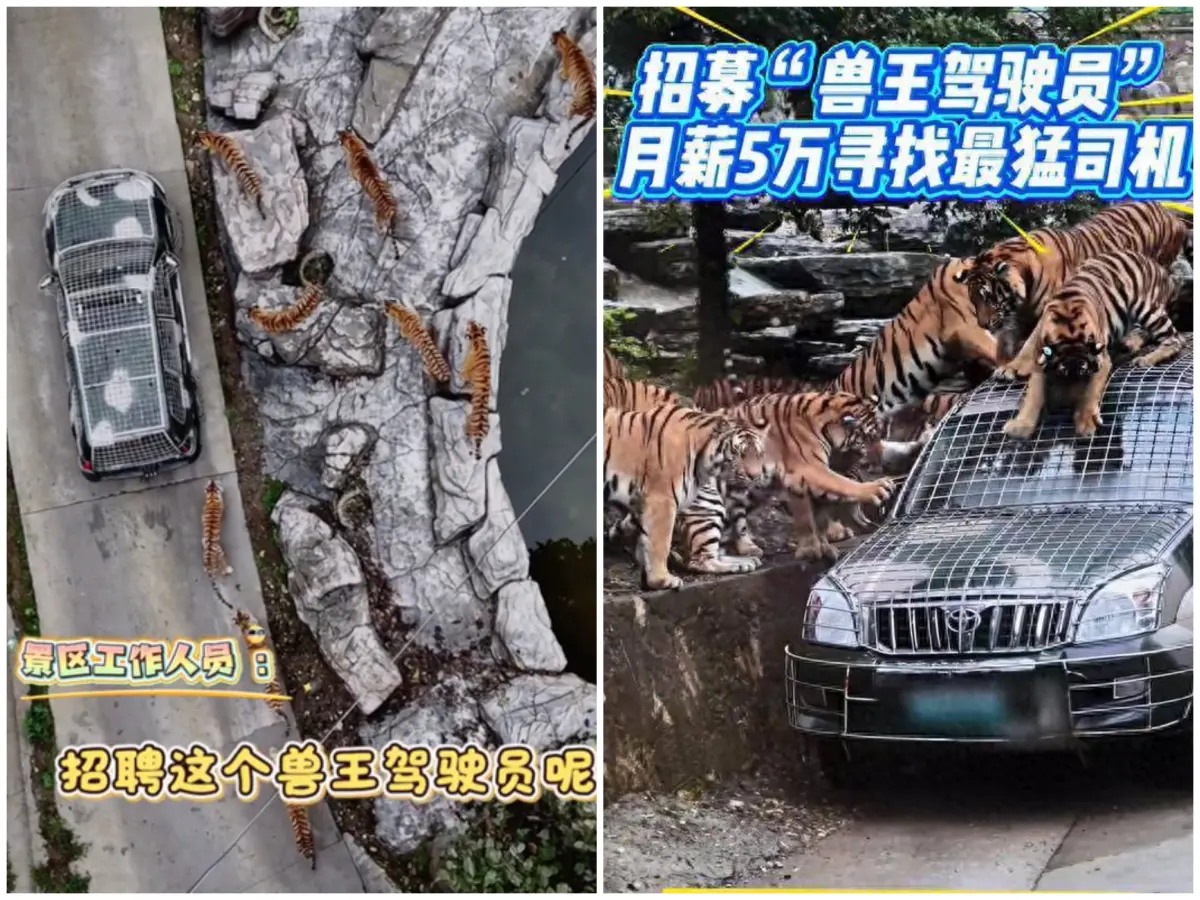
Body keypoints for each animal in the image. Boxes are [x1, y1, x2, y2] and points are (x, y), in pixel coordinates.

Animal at [604, 404, 766, 590]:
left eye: (759, 455)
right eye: (740, 454)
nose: (756, 476)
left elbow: (645, 542)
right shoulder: (662, 499)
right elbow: (660, 543)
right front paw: (662, 580)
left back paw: (747, 560)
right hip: (709, 506)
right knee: (699, 560)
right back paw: (742, 563)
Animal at [966, 201, 1189, 379]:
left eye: (988, 297)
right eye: (974, 300)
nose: (983, 324)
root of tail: (1169, 212)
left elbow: (1030, 344)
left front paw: (1013, 368)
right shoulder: (1018, 316)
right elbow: (1005, 342)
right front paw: (1004, 364)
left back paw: (1133, 342)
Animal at [1002, 252, 1183, 441]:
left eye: (1084, 372)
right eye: (1062, 372)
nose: (1065, 404)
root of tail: (1161, 270)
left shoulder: (1101, 361)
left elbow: (1090, 392)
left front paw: (1086, 422)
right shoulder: (1039, 358)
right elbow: (1034, 395)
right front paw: (1021, 426)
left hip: (1147, 308)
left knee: (1175, 338)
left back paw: (1147, 358)